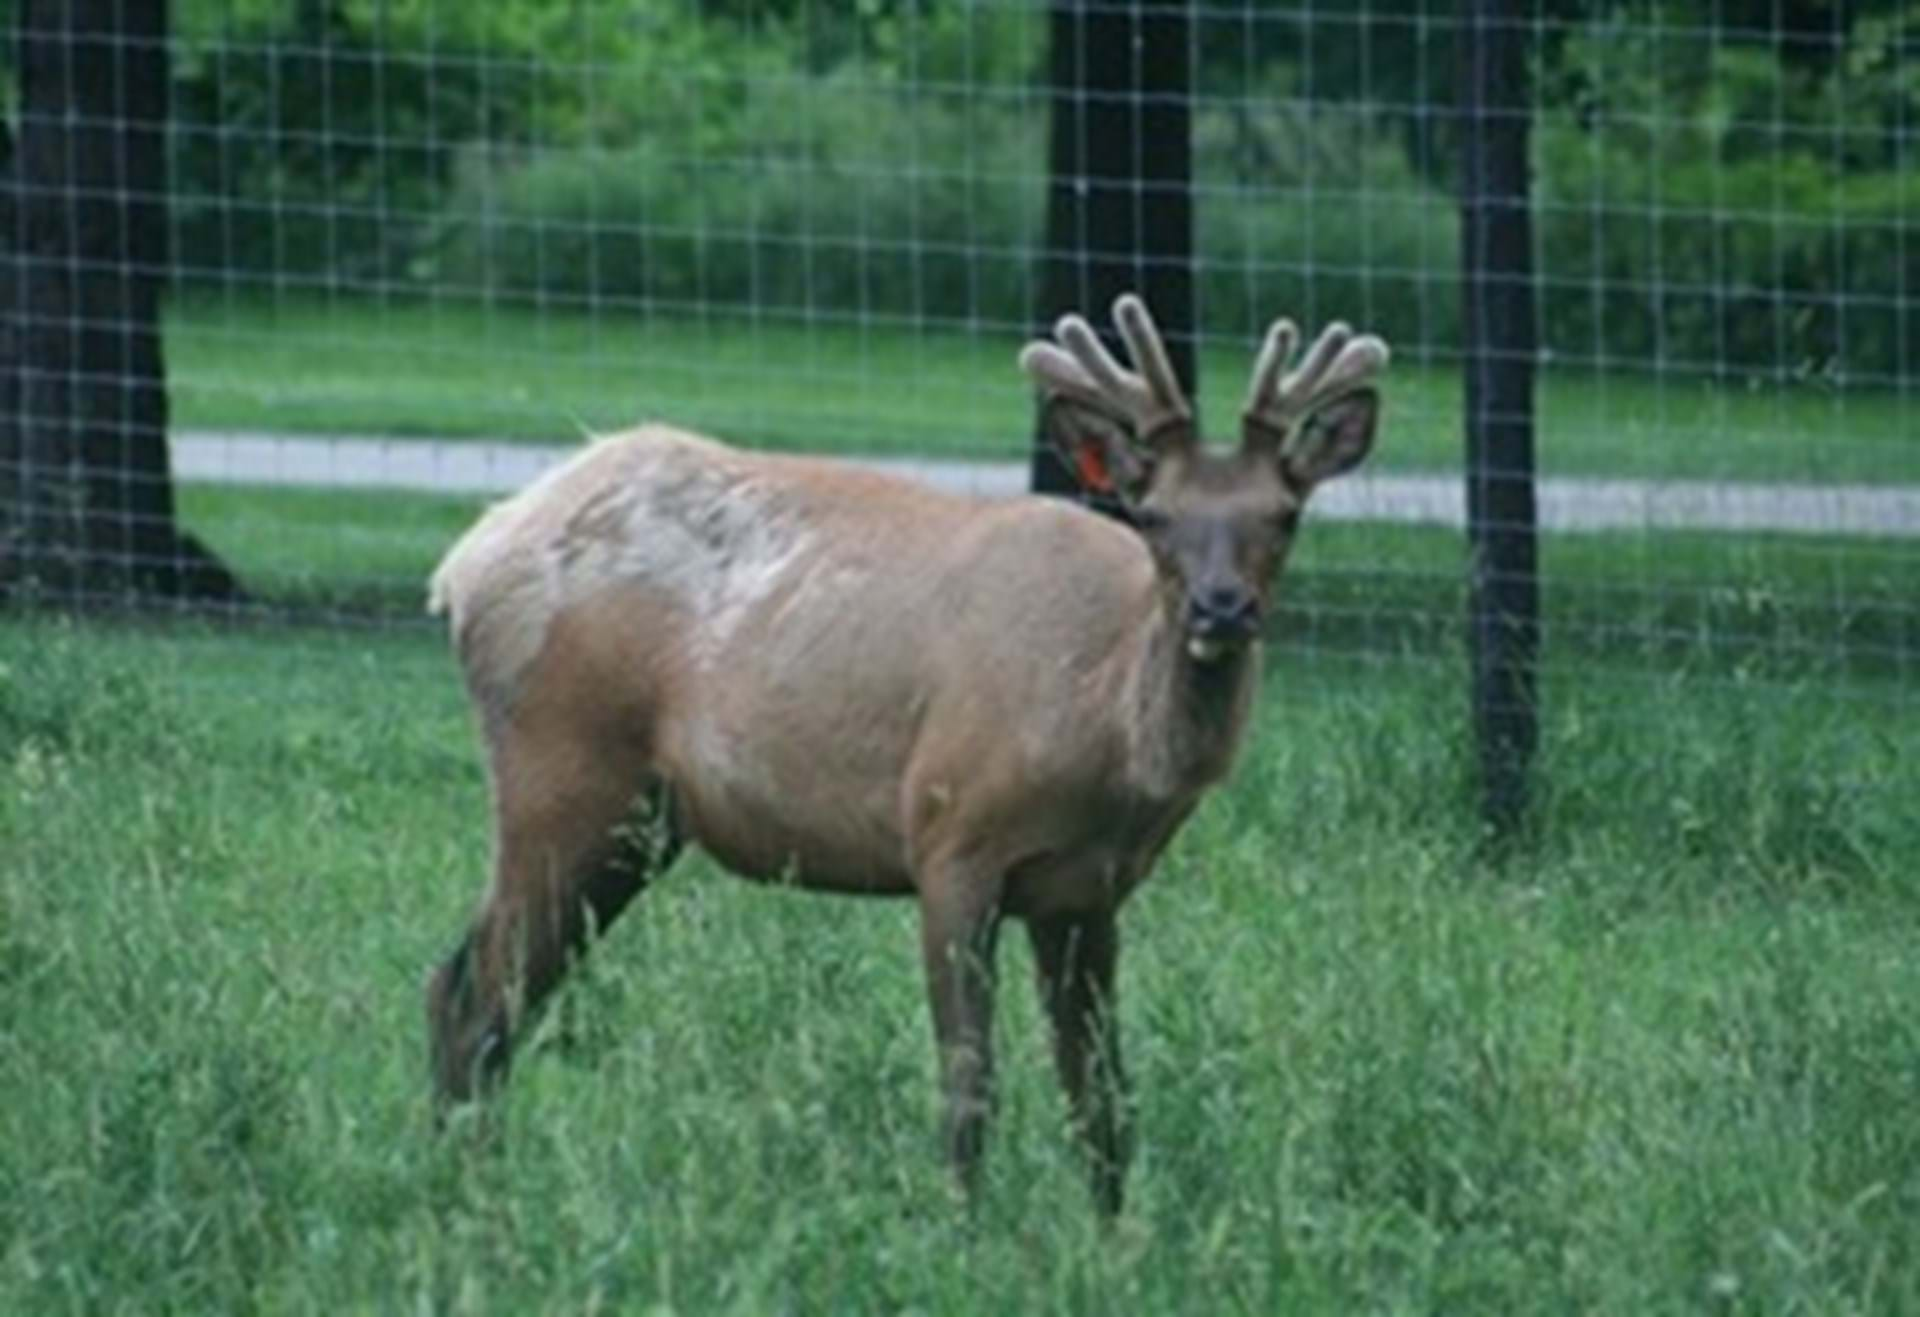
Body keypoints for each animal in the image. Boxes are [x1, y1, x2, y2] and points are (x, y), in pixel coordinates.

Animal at [424, 299, 1382, 1221]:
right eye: (1154, 515)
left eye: (1285, 512)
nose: (1223, 608)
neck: (1103, 739)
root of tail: (464, 564)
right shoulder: (952, 836)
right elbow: (971, 1082)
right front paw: (960, 1233)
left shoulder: (1088, 891)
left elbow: (1102, 1093)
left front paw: (1116, 1236)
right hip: (562, 774)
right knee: (475, 995)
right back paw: (471, 1200)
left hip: (641, 823)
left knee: (472, 984)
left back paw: (464, 1185)